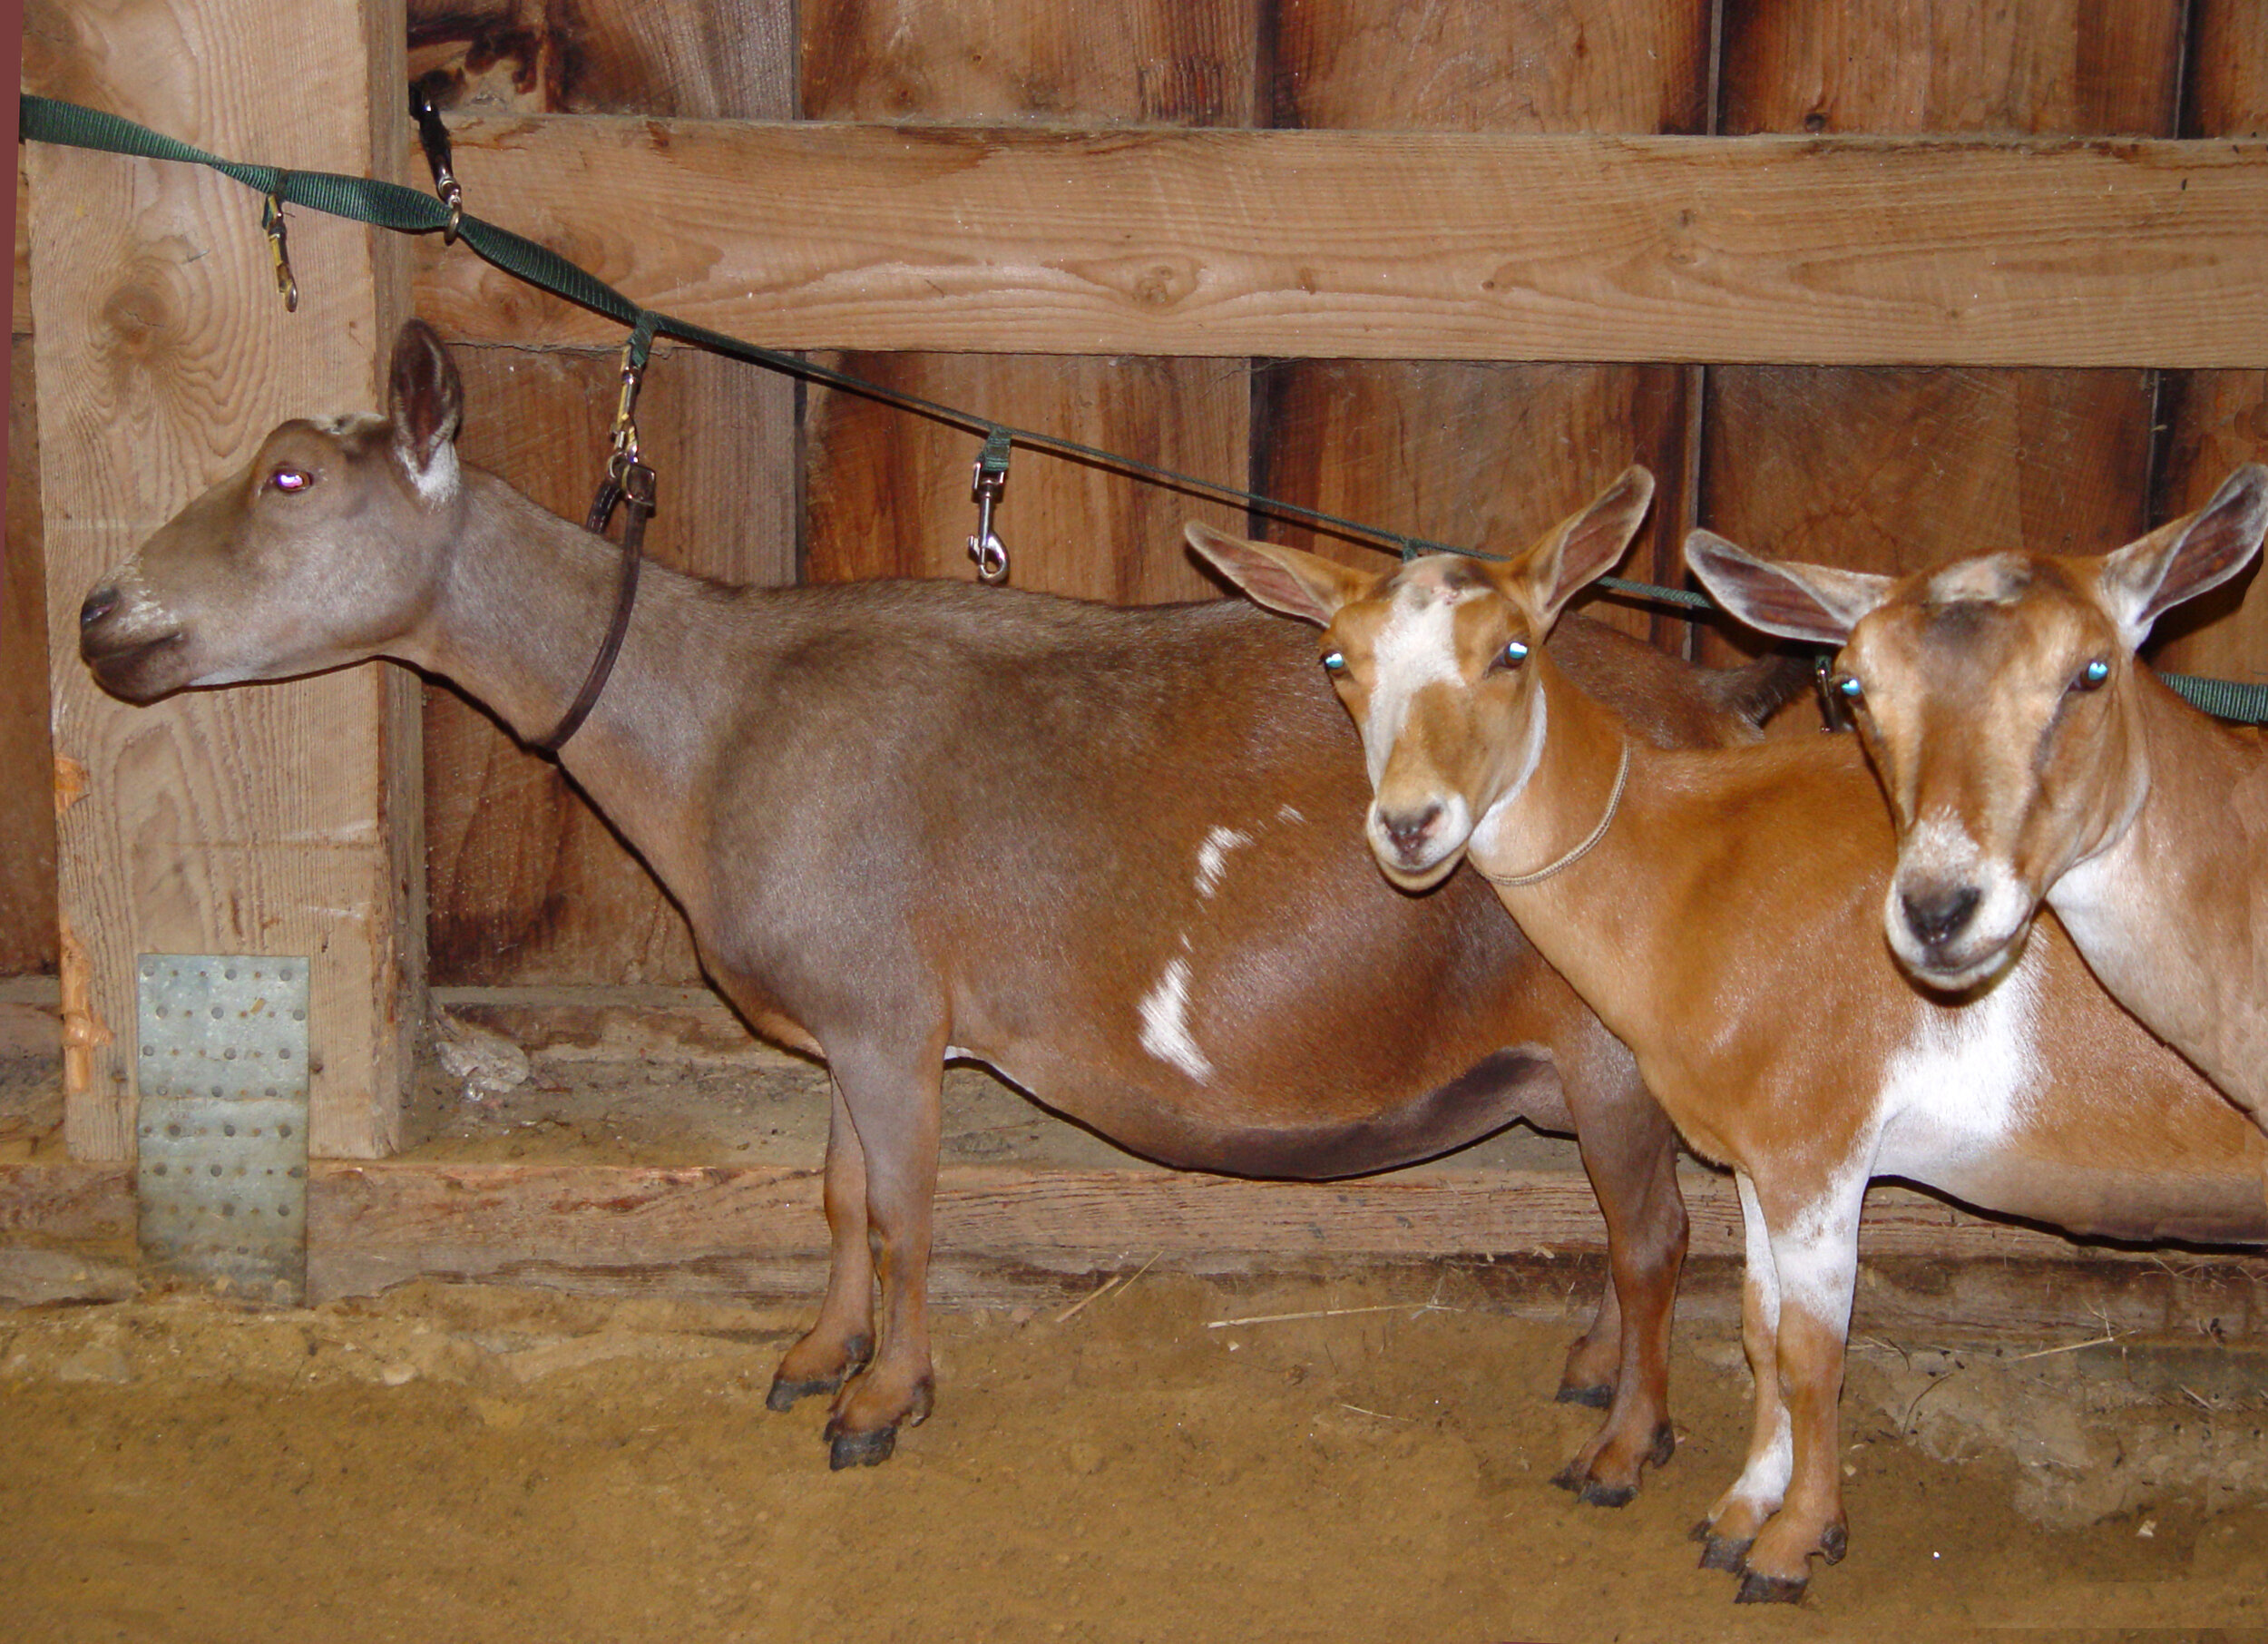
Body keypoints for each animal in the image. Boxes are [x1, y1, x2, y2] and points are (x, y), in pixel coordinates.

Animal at [80, 324, 1796, 1487]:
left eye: (291, 474)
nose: (104, 616)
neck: (714, 720)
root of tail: (1720, 707)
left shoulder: (896, 1018)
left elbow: (909, 1211)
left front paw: (881, 1403)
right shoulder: (851, 1023)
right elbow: (843, 1199)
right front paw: (813, 1352)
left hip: (1610, 1045)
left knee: (1656, 1230)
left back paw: (1625, 1442)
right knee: (1631, 1228)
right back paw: (1591, 1371)